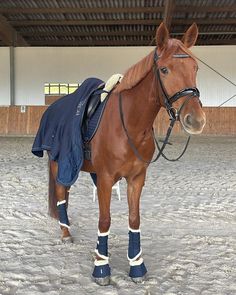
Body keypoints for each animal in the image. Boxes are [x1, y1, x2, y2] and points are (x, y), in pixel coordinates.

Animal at [47, 23, 205, 286]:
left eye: (195, 67)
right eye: (164, 69)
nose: (196, 120)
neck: (130, 124)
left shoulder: (137, 178)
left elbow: (134, 220)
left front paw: (137, 267)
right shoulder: (105, 178)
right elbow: (105, 220)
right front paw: (101, 268)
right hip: (59, 163)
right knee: (60, 193)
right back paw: (65, 233)